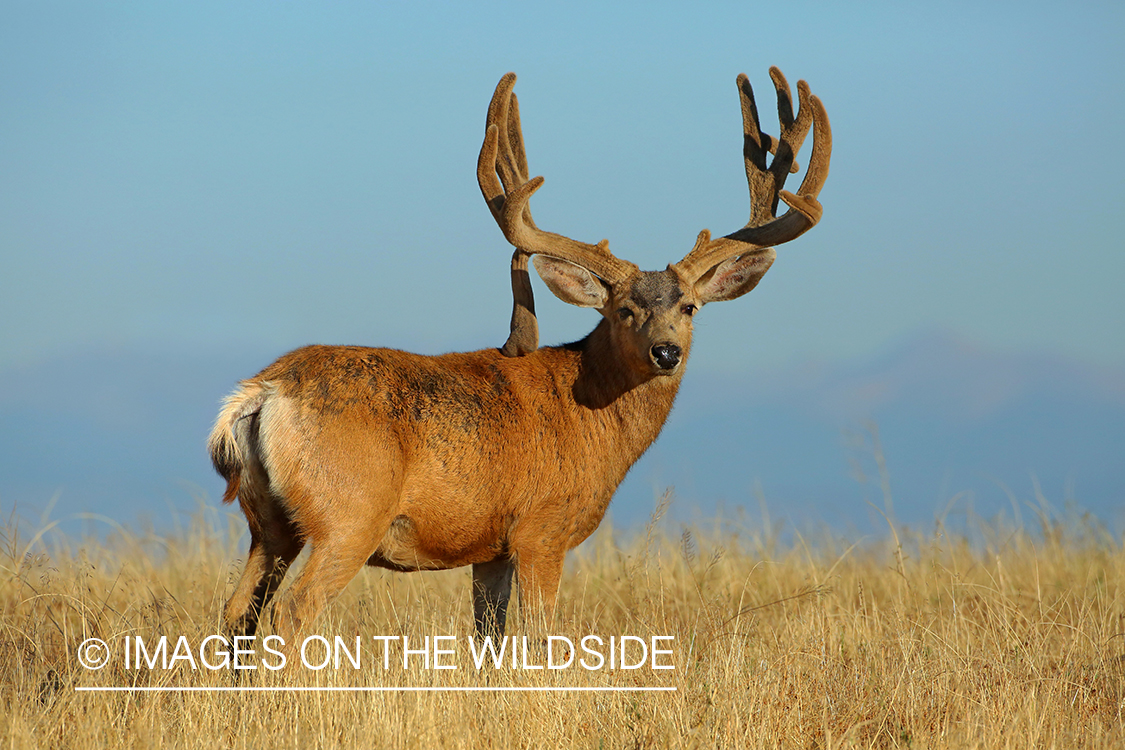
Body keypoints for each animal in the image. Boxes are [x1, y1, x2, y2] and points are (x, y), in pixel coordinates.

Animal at [209, 67, 828, 647]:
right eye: (623, 309)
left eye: (691, 307)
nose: (666, 351)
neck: (591, 415)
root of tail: (263, 392)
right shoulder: (541, 529)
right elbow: (539, 635)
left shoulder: (492, 547)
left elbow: (487, 636)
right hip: (348, 514)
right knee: (292, 612)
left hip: (269, 523)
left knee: (237, 612)